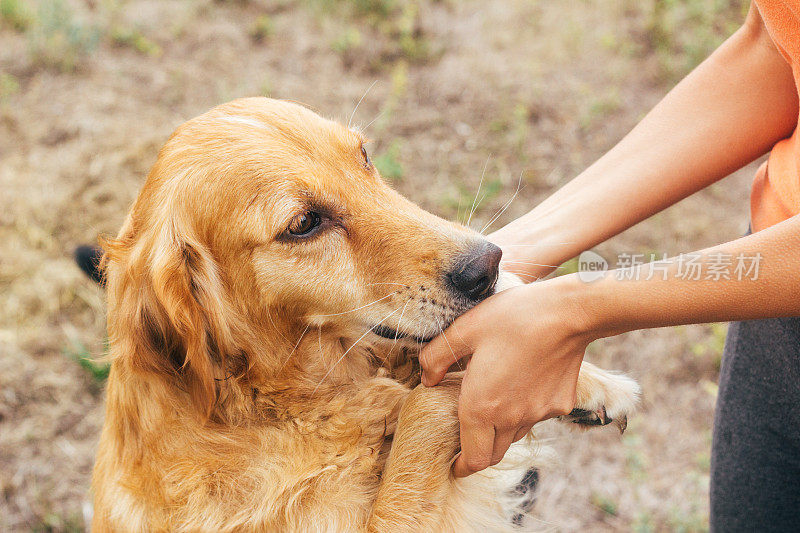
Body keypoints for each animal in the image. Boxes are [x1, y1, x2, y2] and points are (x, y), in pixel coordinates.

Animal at [90, 97, 640, 528]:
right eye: (303, 223)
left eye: (364, 156)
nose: (487, 266)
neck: (273, 404)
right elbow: (422, 408)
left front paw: (589, 383)